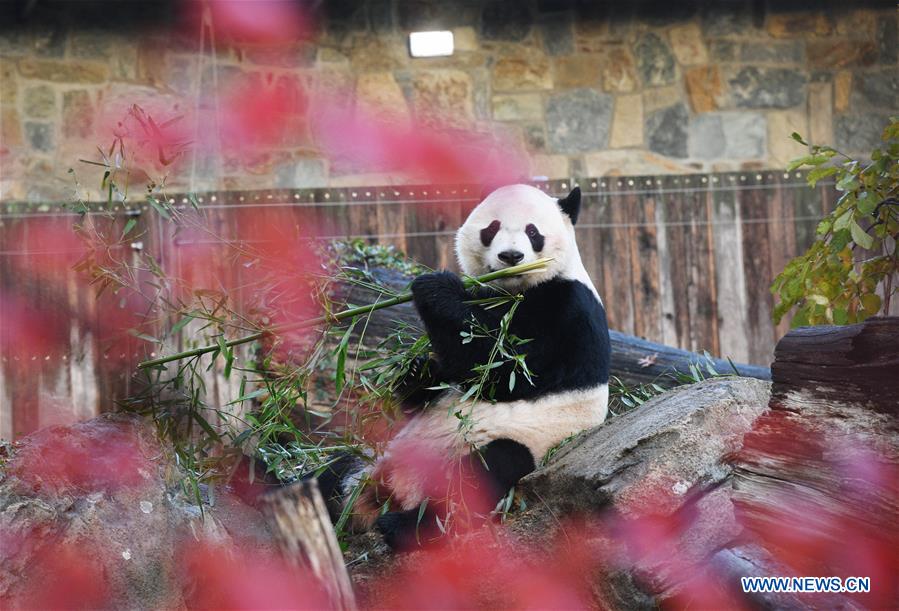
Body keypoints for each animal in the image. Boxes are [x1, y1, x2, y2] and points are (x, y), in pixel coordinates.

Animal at [318, 184, 612, 552]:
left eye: (533, 233)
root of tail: (394, 490)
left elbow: (505, 371)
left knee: (484, 473)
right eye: (492, 228)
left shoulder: (568, 311)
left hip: (514, 447)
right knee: (333, 473)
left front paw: (435, 287)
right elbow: (446, 373)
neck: (512, 288)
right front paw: (414, 370)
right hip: (372, 458)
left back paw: (404, 527)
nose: (511, 256)